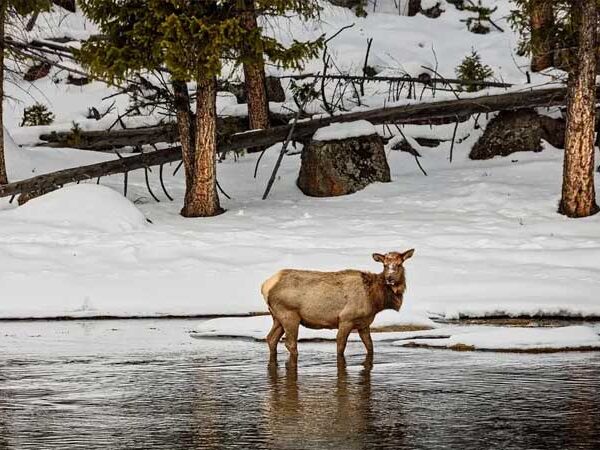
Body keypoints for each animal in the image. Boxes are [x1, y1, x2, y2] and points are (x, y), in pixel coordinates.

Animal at [260, 250, 414, 362]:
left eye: (399, 264)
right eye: (385, 265)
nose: (390, 279)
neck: (376, 300)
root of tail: (265, 286)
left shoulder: (364, 323)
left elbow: (370, 347)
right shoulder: (346, 319)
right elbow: (340, 346)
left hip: (277, 317)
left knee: (271, 338)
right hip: (289, 314)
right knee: (290, 343)